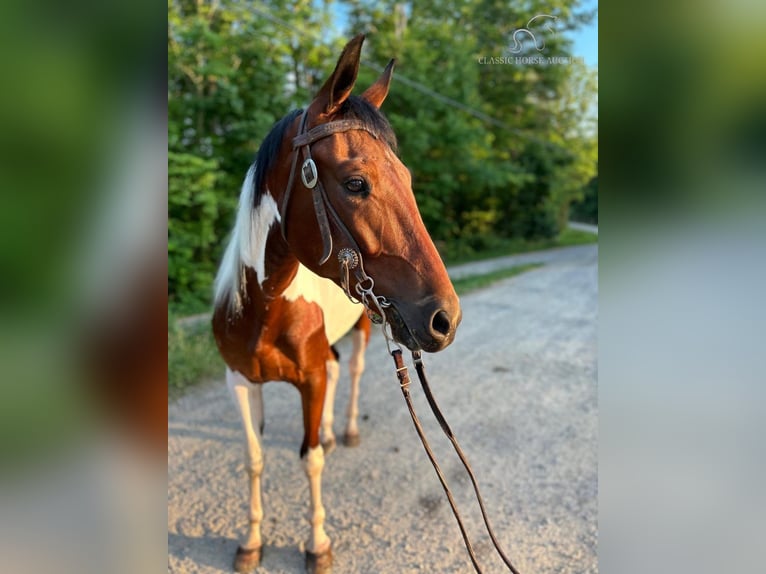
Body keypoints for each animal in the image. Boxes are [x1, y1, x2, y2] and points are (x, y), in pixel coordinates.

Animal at [212, 36, 462, 574]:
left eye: (407, 177)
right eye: (355, 183)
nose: (446, 319)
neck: (263, 308)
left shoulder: (309, 380)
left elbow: (310, 460)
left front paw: (318, 543)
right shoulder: (239, 381)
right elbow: (254, 459)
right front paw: (251, 541)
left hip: (370, 327)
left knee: (351, 372)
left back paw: (341, 430)